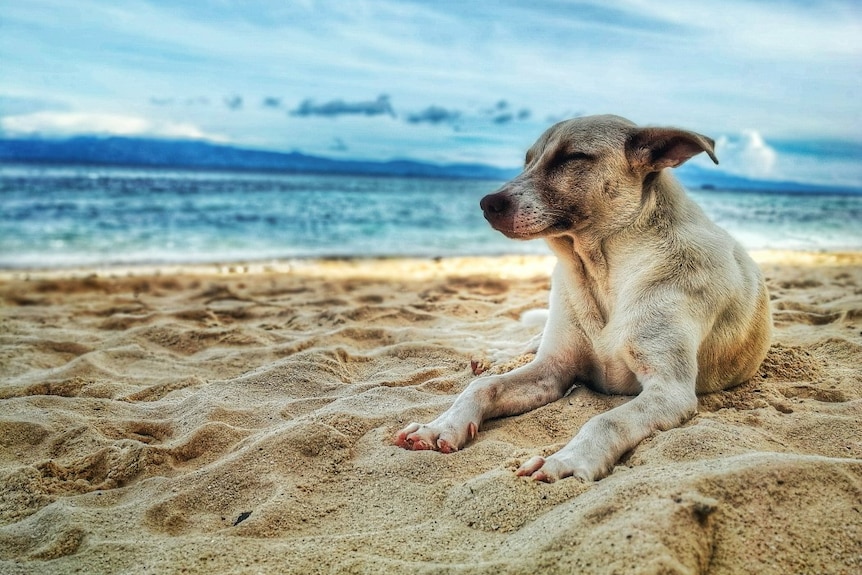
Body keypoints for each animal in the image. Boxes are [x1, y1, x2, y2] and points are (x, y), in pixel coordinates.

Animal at [394, 115, 772, 484]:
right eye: (528, 160)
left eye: (572, 157)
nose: (488, 204)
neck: (600, 273)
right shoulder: (552, 369)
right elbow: (483, 388)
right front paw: (441, 425)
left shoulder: (669, 391)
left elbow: (606, 421)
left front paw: (567, 461)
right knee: (523, 347)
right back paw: (497, 356)